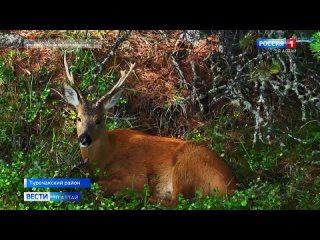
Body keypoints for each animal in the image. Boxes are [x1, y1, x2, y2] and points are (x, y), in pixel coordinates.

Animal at [62, 54, 236, 206]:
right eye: (78, 118)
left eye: (99, 120)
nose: (84, 139)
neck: (104, 158)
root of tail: (230, 187)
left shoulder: (135, 176)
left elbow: (99, 185)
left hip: (186, 164)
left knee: (177, 201)